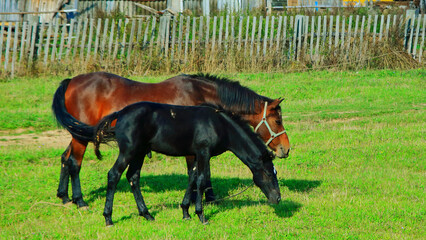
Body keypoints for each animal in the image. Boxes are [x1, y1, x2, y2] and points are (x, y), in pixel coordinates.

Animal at [50, 71, 290, 208]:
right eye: (277, 120)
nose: (285, 149)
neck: (199, 94)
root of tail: (72, 81)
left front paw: (206, 199)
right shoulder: (193, 149)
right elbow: (198, 173)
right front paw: (199, 201)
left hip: (79, 133)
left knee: (65, 158)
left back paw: (64, 196)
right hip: (81, 138)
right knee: (75, 163)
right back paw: (80, 201)